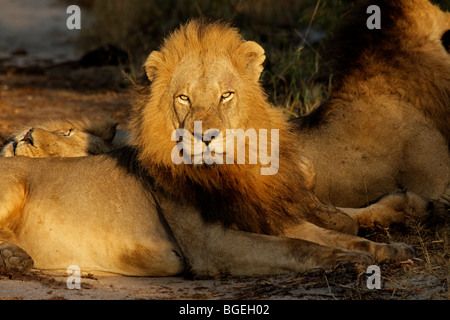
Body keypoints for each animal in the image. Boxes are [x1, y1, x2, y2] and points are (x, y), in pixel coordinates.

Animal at [0, 20, 414, 276]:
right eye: (183, 98)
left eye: (225, 95)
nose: (206, 136)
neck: (229, 171)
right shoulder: (211, 245)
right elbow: (300, 248)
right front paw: (351, 260)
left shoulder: (269, 217)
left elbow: (332, 234)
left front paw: (387, 251)